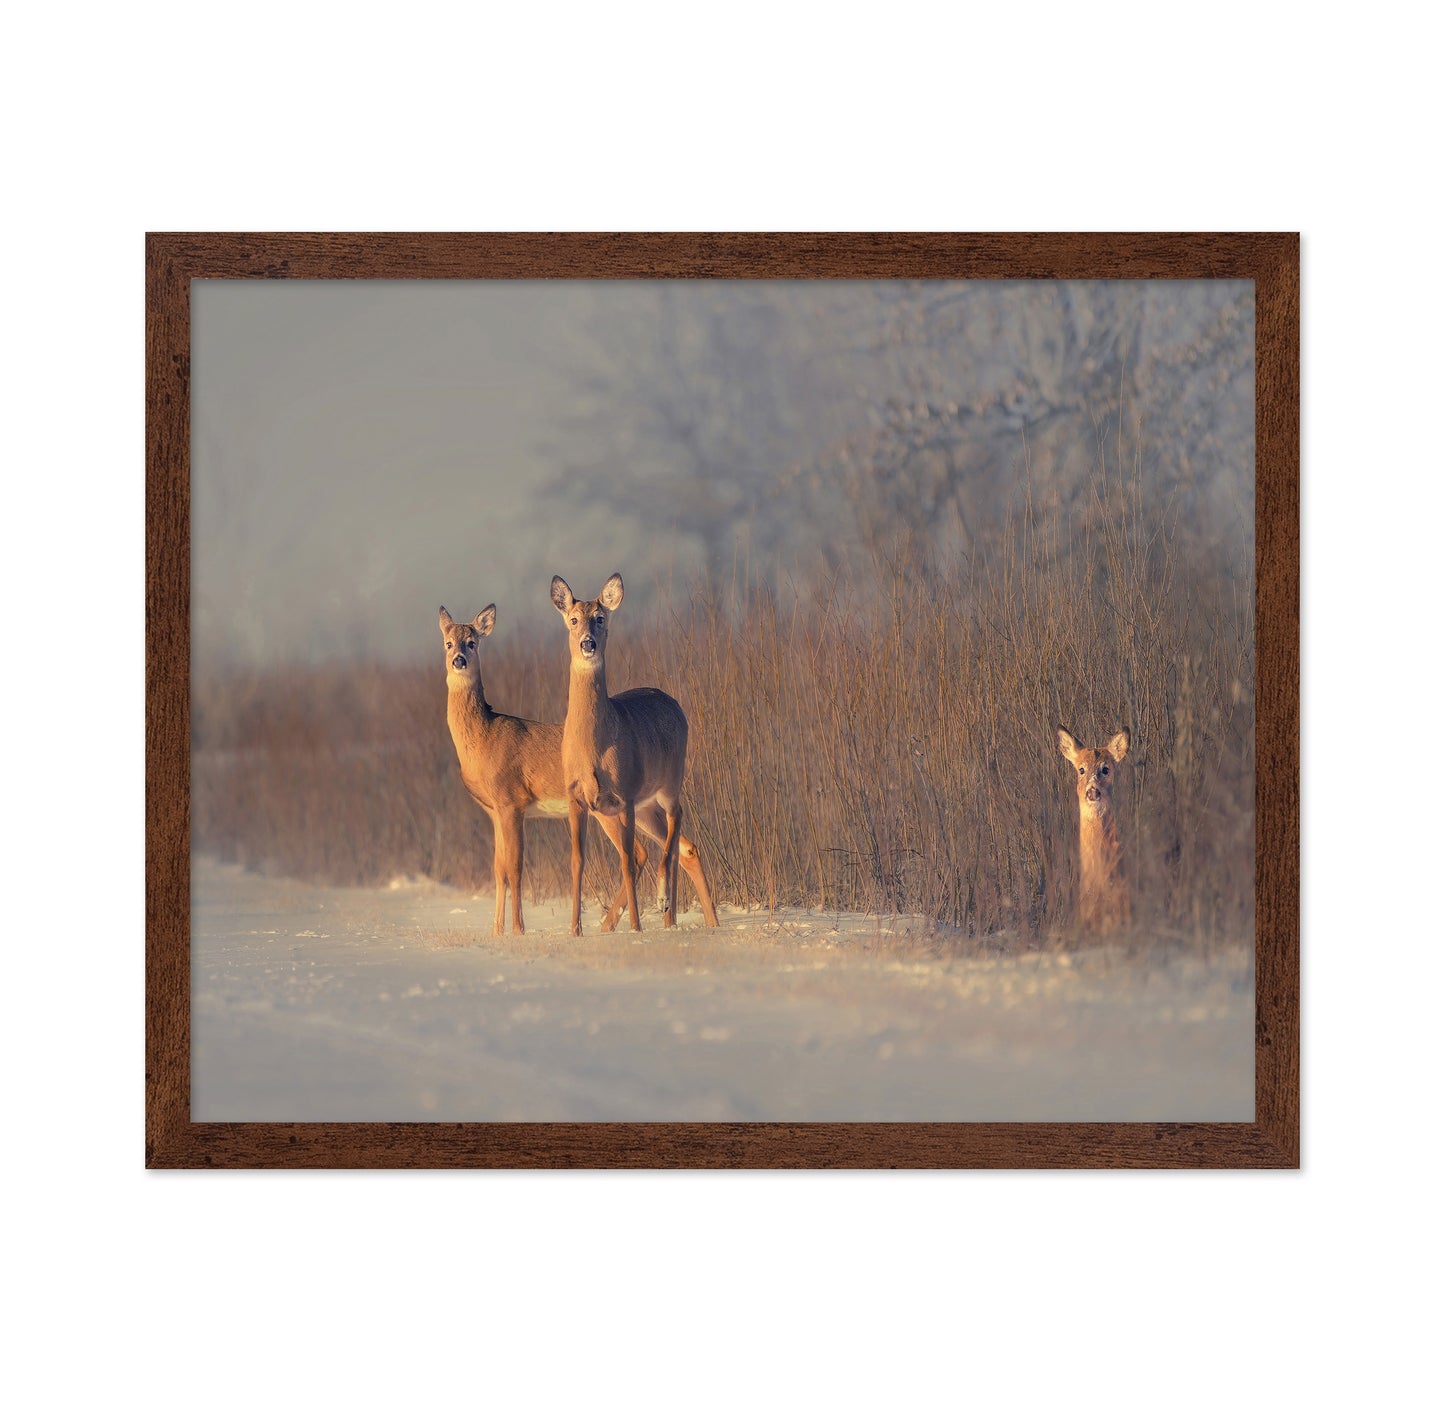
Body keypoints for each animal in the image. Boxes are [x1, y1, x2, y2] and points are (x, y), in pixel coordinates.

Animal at [439, 603, 654, 936]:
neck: (483, 740)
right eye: (448, 643)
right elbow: (498, 869)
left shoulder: (512, 801)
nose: (458, 660)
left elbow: (515, 867)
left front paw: (518, 929)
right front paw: (496, 931)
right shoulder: (494, 811)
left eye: (472, 643)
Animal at [550, 573, 718, 938]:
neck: (594, 747)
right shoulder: (577, 797)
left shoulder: (624, 794)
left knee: (675, 823)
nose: (587, 643)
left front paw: (637, 927)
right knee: (683, 846)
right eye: (573, 619)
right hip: (644, 807)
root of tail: (674, 703)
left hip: (669, 781)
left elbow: (626, 860)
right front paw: (575, 930)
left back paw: (664, 903)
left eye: (601, 618)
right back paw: (692, 920)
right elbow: (577, 861)